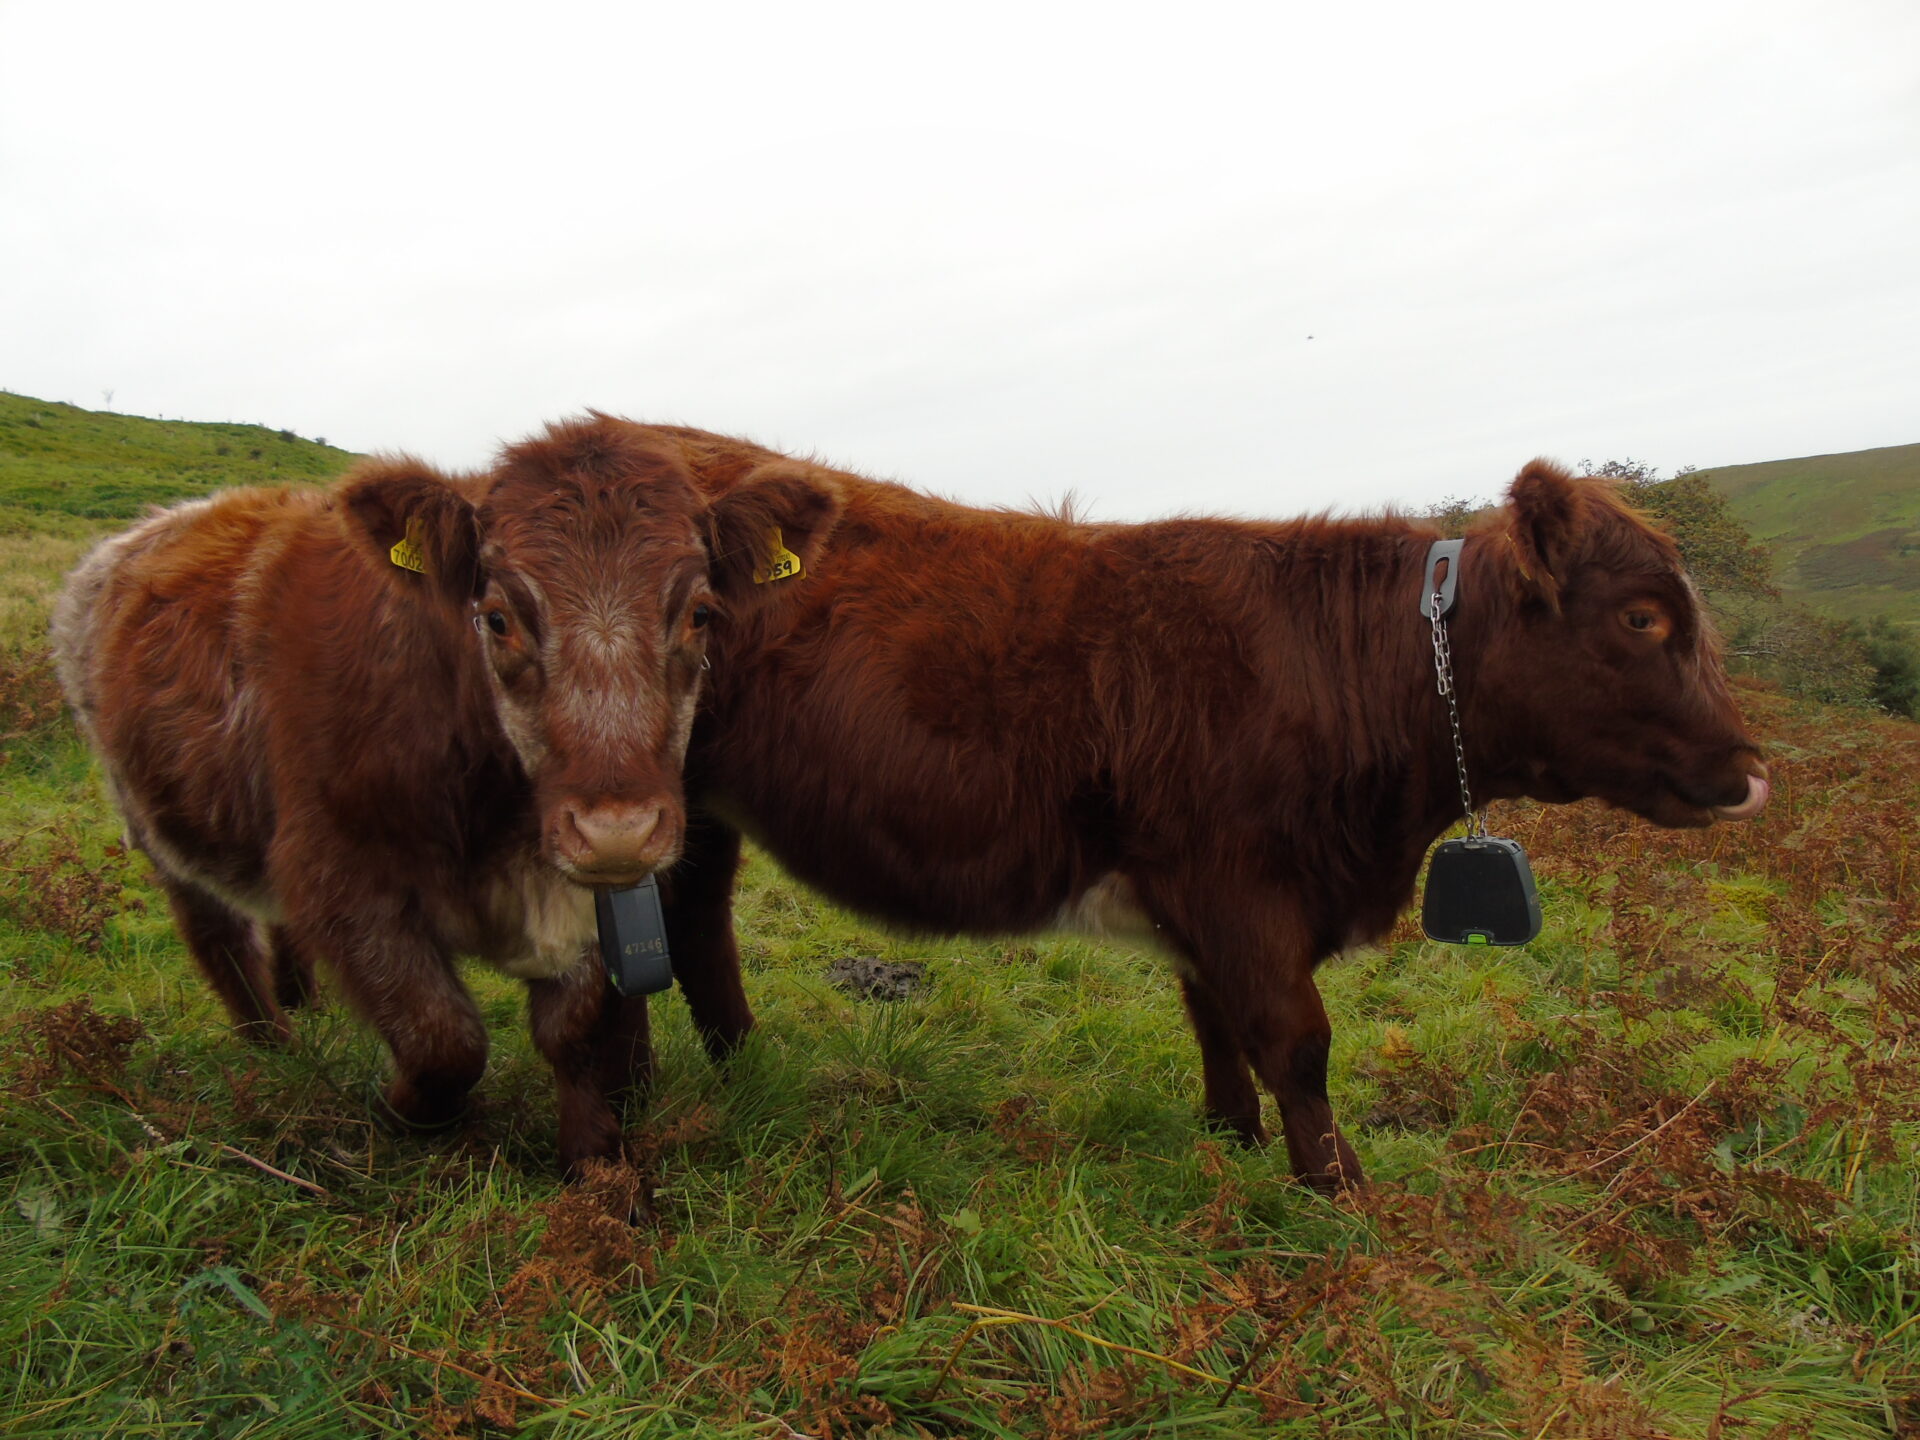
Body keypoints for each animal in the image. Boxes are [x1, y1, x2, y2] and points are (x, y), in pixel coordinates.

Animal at [51, 421, 842, 1172]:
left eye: (700, 613)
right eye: (497, 618)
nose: (617, 831)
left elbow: (574, 1034)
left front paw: (598, 1169)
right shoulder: (340, 876)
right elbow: (443, 1039)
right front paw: (403, 1113)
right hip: (155, 820)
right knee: (218, 937)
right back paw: (275, 1047)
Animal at [545, 417, 1767, 1192]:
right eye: (1645, 617)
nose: (1753, 771)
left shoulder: (1214, 901)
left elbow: (1216, 1020)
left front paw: (1232, 1143)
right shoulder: (1240, 885)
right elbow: (1295, 1041)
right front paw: (1338, 1192)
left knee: (688, 920)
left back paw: (720, 1071)